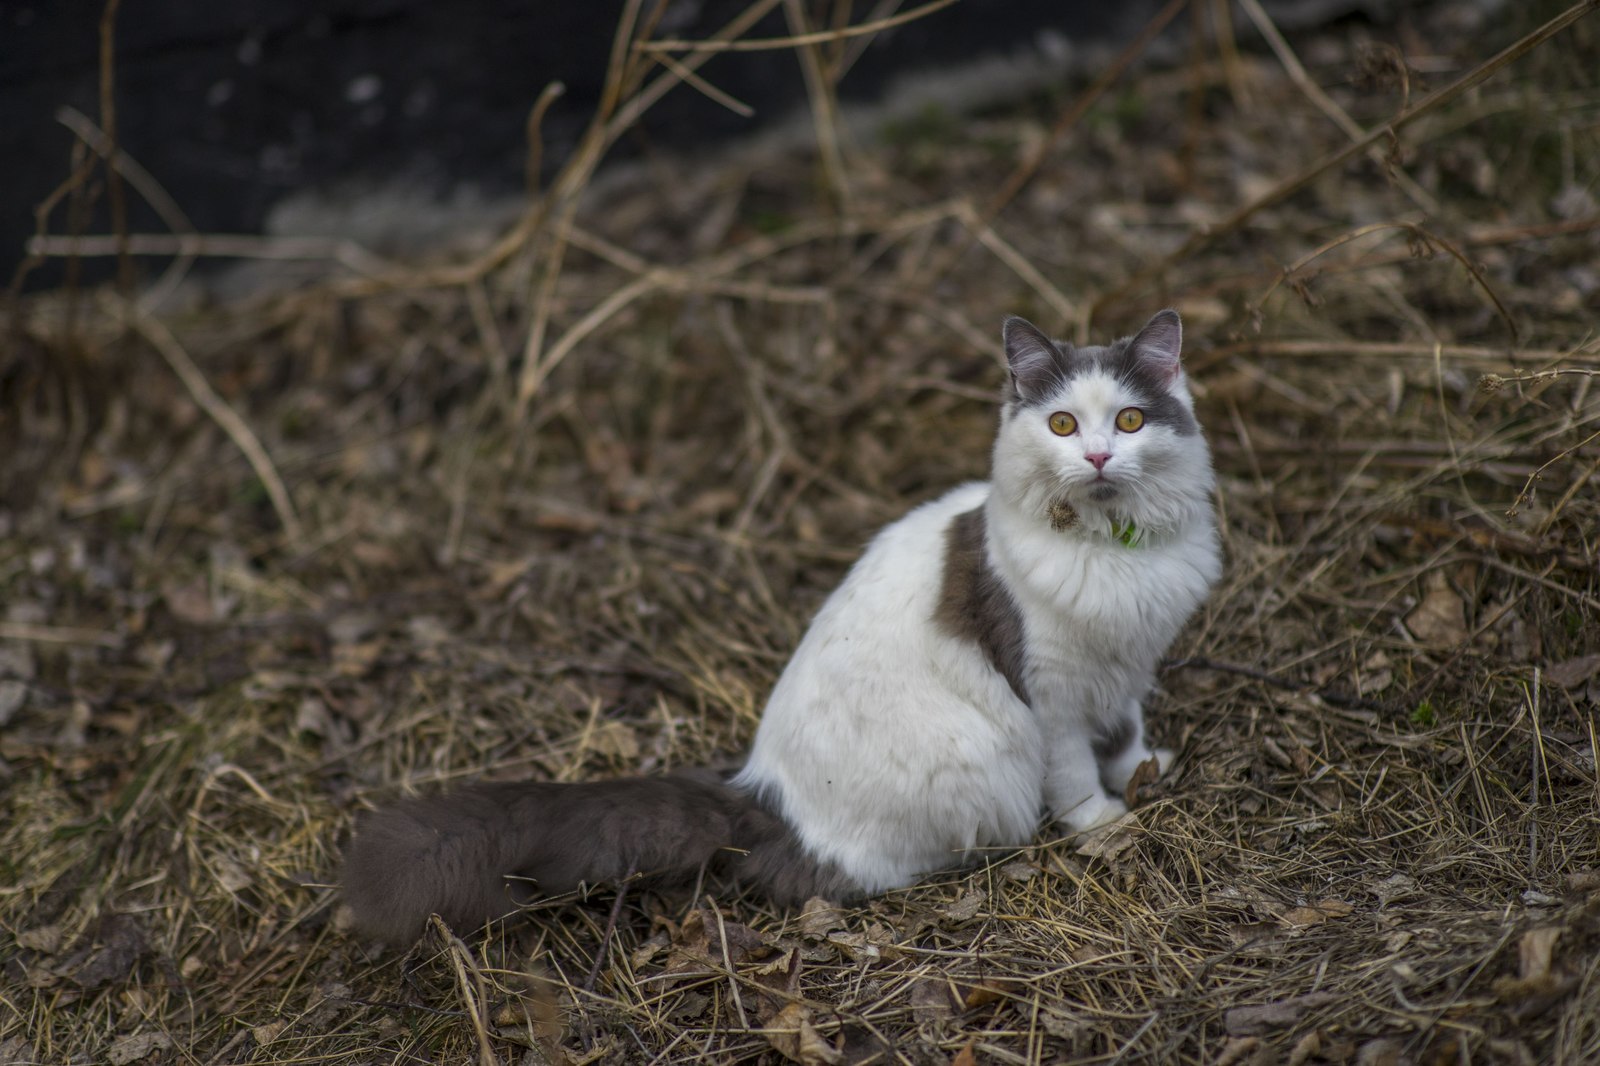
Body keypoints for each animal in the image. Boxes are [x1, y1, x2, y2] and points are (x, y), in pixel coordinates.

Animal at [344, 307, 1216, 941]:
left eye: (1130, 420)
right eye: (1063, 425)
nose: (1098, 458)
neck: (1114, 549)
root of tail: (764, 794)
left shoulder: (1126, 664)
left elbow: (1127, 731)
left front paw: (1146, 771)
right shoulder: (1052, 690)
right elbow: (1073, 771)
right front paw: (1106, 825)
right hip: (978, 757)